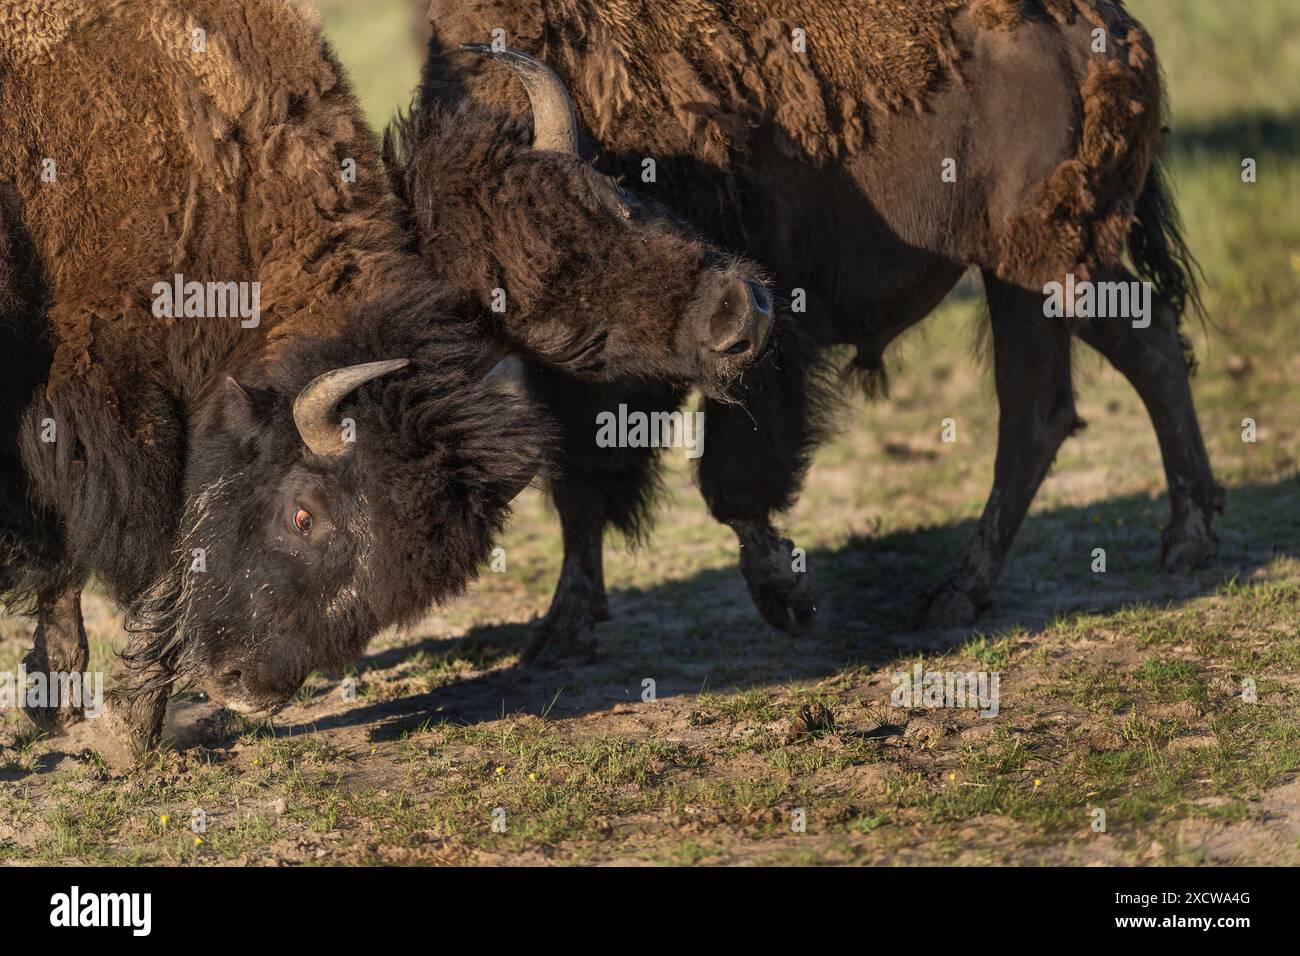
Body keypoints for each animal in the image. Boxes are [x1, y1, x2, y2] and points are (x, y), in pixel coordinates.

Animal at [0, 0, 769, 749]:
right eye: (303, 514)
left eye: (624, 202)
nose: (245, 685)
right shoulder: (107, 417)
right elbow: (138, 557)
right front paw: (113, 724)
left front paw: (84, 708)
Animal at [418, 0, 1227, 658]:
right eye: (556, 320)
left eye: (616, 208)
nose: (739, 310)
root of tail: (1112, 31)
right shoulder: (570, 389)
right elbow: (582, 492)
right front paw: (560, 632)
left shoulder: (768, 344)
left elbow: (736, 482)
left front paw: (790, 597)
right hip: (1063, 271)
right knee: (1147, 345)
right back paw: (1186, 540)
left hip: (1031, 271)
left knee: (1035, 414)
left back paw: (954, 595)